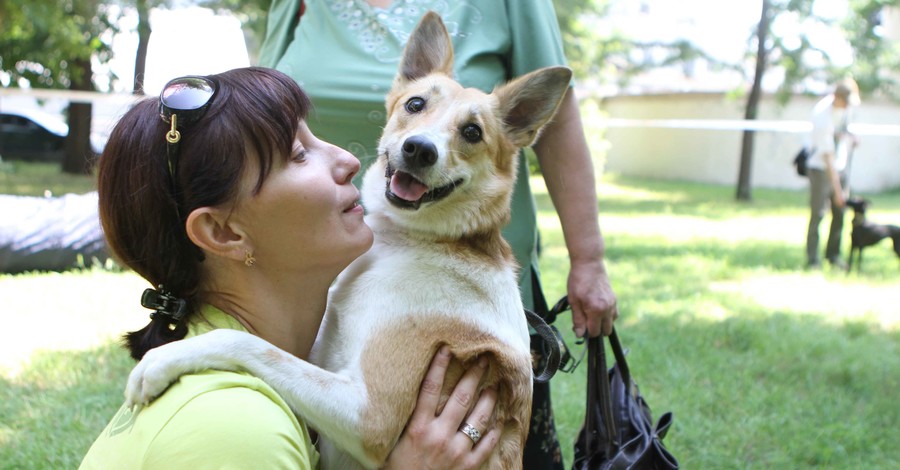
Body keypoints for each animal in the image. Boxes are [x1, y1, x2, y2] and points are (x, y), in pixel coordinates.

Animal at [124, 11, 572, 470]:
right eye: (415, 105)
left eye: (472, 132)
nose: (419, 149)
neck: (407, 242)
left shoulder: (370, 416)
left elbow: (251, 343)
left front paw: (163, 361)